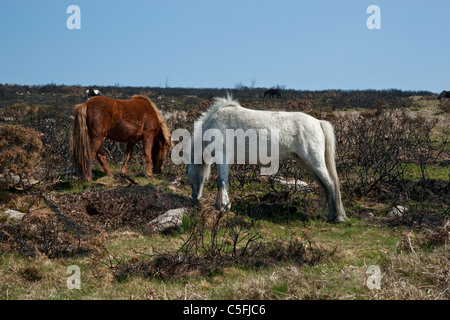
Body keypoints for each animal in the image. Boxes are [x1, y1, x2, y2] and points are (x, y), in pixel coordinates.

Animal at [185, 95, 344, 222]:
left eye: (188, 174)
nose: (195, 197)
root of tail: (318, 122)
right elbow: (223, 182)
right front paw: (220, 205)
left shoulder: (223, 157)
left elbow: (221, 182)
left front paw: (223, 206)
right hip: (307, 164)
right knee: (325, 186)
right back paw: (331, 215)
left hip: (315, 163)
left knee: (331, 184)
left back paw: (338, 217)